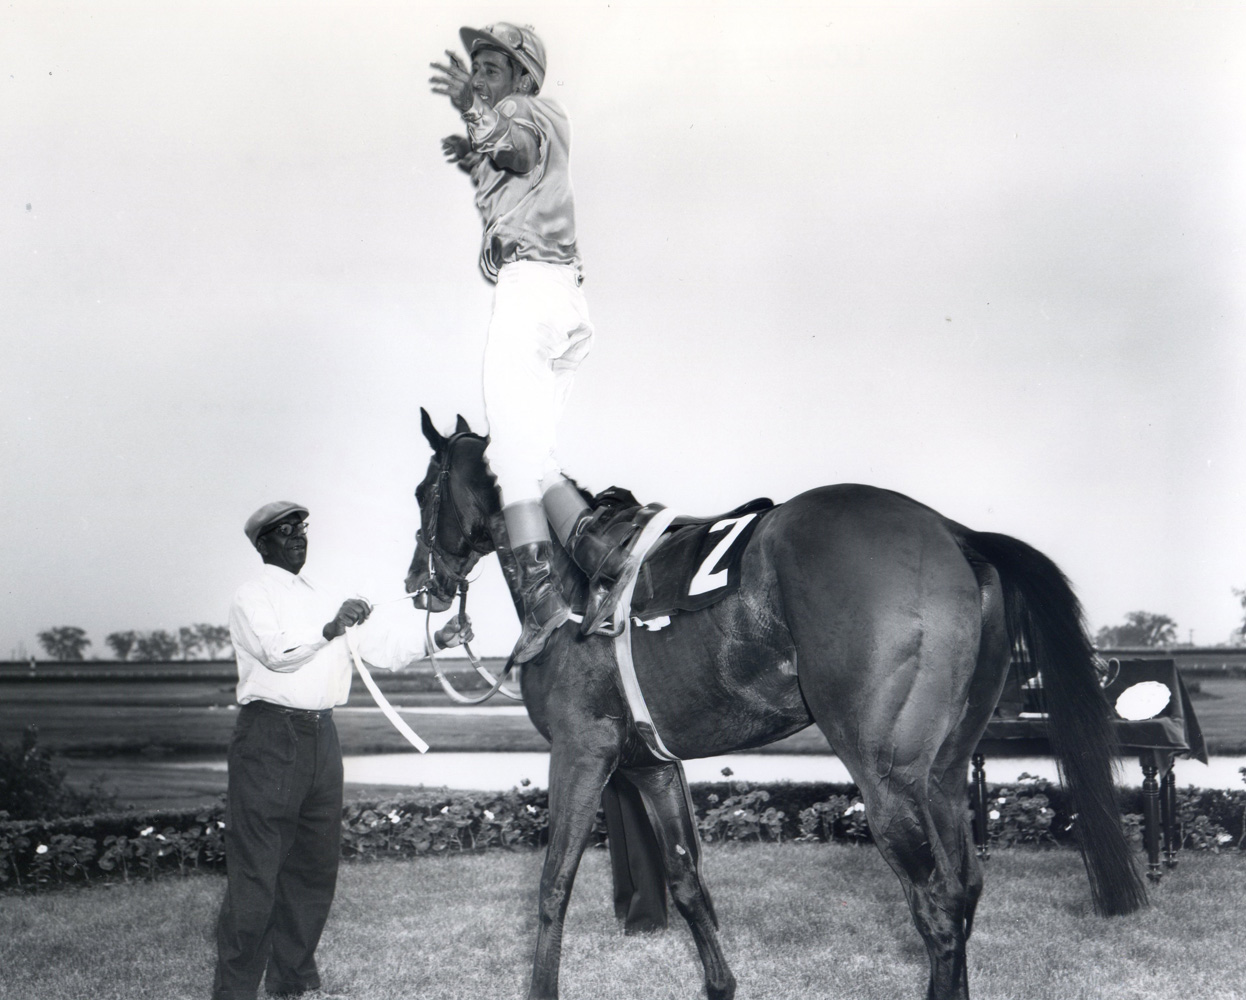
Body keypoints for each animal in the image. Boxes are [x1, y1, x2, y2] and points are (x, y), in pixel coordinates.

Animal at [406, 408, 1146, 1000]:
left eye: (421, 492)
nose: (419, 581)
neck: (565, 582)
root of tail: (953, 531)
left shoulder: (580, 751)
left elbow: (553, 884)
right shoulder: (651, 765)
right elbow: (685, 879)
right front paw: (719, 984)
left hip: (885, 777)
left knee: (935, 902)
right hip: (941, 772)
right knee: (965, 885)